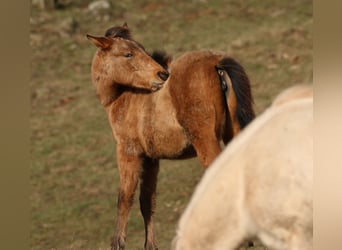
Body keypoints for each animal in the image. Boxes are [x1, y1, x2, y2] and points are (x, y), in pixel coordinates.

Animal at [87, 23, 255, 250]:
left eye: (138, 50)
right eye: (128, 53)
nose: (161, 74)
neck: (128, 97)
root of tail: (217, 64)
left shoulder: (128, 152)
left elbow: (125, 198)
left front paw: (118, 243)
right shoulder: (151, 159)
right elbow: (147, 201)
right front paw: (150, 245)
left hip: (206, 142)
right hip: (234, 134)